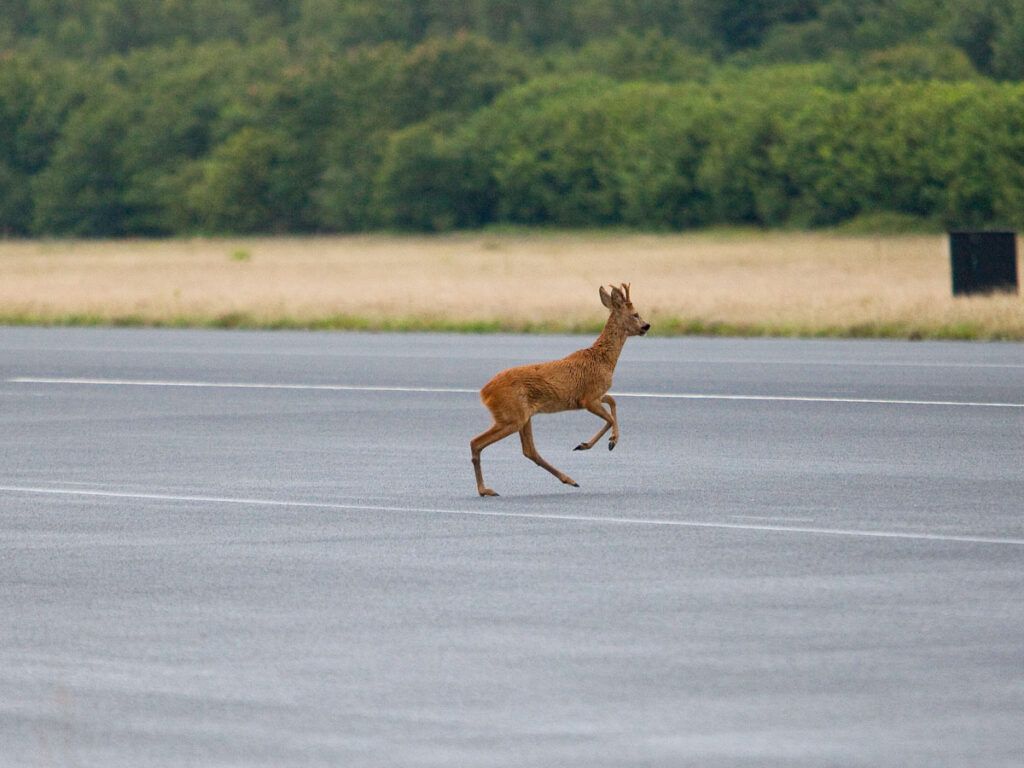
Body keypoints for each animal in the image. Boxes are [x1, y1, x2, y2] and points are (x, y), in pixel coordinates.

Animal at [470, 283, 650, 496]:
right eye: (635, 314)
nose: (647, 326)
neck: (603, 360)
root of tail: (484, 393)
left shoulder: (594, 396)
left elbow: (613, 402)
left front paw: (587, 444)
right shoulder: (587, 398)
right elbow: (610, 417)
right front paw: (609, 442)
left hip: (523, 416)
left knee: (529, 450)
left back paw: (569, 480)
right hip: (511, 416)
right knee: (476, 442)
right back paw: (485, 490)